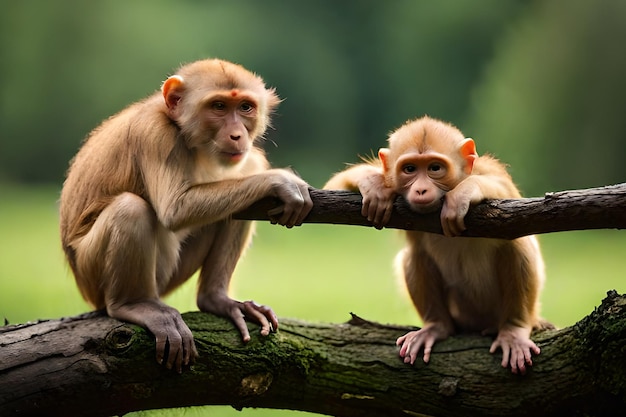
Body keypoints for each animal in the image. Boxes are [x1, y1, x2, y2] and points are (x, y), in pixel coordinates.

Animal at [59, 58, 310, 370]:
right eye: (218, 106)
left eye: (245, 107)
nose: (237, 135)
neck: (185, 134)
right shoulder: (155, 134)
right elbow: (174, 209)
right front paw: (280, 181)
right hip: (97, 274)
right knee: (130, 209)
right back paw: (132, 304)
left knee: (246, 178)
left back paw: (215, 298)